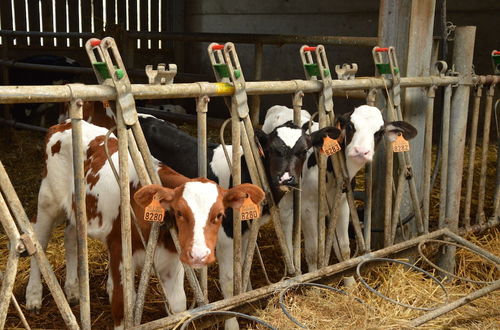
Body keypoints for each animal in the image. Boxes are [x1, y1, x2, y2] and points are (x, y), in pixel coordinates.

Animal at [25, 120, 264, 328]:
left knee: (71, 237)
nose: (199, 254)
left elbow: (178, 307)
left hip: (79, 211)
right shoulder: (121, 255)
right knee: (39, 241)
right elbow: (123, 308)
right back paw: (33, 296)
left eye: (219, 215)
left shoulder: (172, 263)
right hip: (48, 201)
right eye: (179, 212)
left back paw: (73, 289)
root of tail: (63, 124)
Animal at [262, 105, 418, 274]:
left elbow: (343, 249)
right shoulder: (307, 209)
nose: (361, 151)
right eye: (350, 126)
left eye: (379, 132)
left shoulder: (343, 204)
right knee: (286, 224)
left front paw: (348, 278)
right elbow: (313, 252)